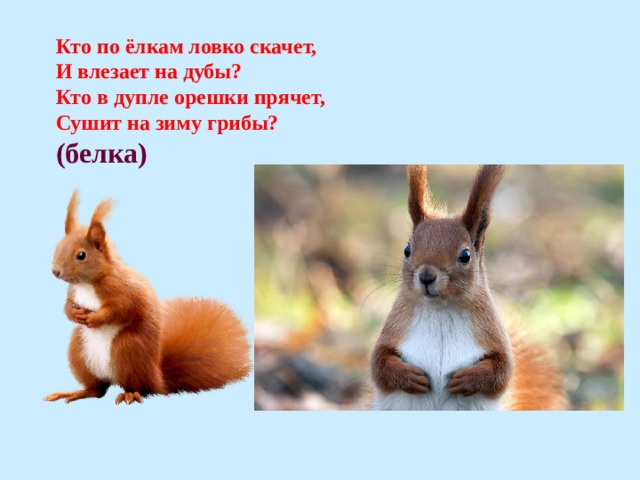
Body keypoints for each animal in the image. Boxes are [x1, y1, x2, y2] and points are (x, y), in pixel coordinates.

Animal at [44, 191, 252, 405]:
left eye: (81, 255)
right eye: (57, 247)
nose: (55, 272)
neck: (87, 283)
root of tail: (158, 379)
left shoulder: (123, 290)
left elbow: (121, 309)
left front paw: (96, 318)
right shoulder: (73, 291)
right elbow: (67, 305)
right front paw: (73, 313)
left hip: (127, 348)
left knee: (138, 387)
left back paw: (129, 393)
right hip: (79, 350)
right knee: (97, 389)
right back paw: (77, 392)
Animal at [371, 165, 566, 410]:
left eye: (465, 255)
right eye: (407, 250)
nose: (426, 276)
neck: (441, 311)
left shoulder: (492, 332)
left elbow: (502, 370)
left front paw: (466, 379)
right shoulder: (395, 327)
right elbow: (379, 364)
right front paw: (410, 376)